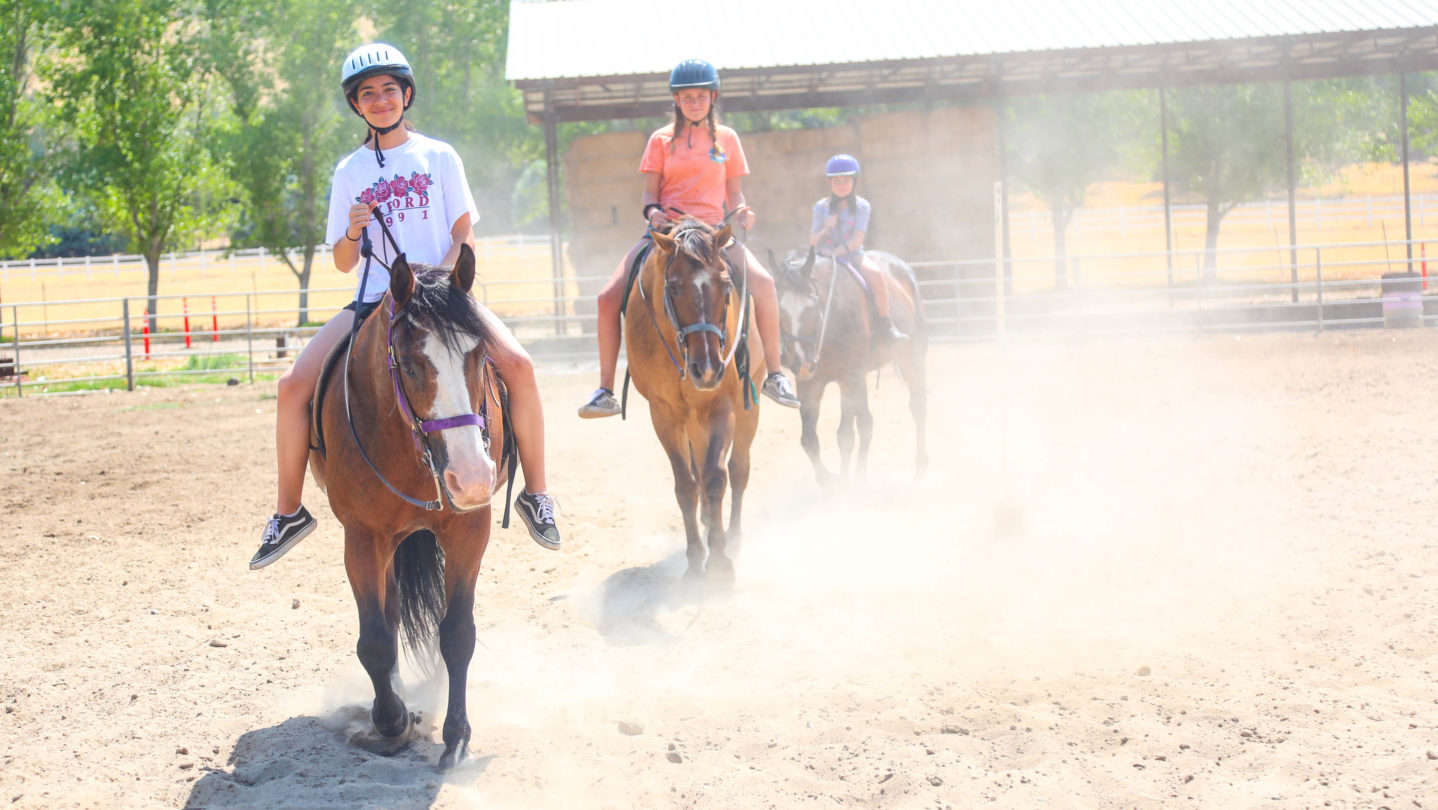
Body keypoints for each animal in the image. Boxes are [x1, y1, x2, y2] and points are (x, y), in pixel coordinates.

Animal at [308, 243, 508, 770]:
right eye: (412, 365)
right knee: (389, 611)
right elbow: (375, 639)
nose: (472, 478)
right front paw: (391, 720)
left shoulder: (469, 530)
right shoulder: (362, 536)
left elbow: (457, 634)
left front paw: (457, 736)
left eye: (480, 355)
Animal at [623, 217, 764, 584]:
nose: (709, 368)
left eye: (726, 285)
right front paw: (696, 559)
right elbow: (686, 485)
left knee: (738, 469)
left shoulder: (722, 406)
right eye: (673, 287)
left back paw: (734, 535)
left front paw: (720, 562)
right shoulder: (664, 413)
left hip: (748, 406)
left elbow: (716, 477)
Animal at [773, 248, 928, 485]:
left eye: (813, 303)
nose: (802, 362)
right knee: (866, 422)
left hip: (911, 358)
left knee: (917, 408)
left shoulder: (848, 378)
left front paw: (847, 483)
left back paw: (920, 467)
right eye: (779, 309)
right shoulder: (810, 383)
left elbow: (846, 435)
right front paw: (828, 481)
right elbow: (808, 439)